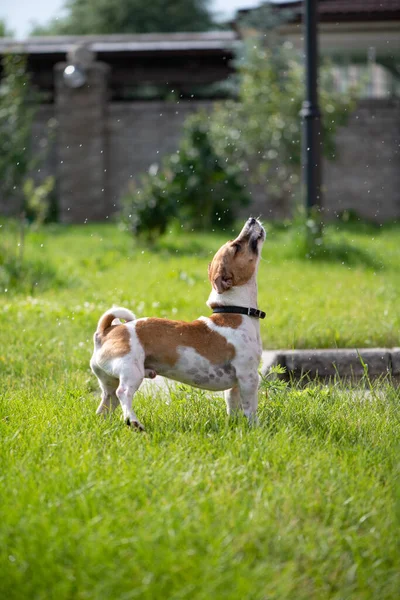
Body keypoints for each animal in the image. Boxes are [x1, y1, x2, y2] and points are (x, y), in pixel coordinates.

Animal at [90, 218, 266, 428]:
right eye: (237, 246)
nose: (251, 220)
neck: (234, 310)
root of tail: (106, 331)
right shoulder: (248, 377)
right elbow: (250, 408)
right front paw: (255, 427)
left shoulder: (234, 386)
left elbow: (233, 406)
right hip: (131, 371)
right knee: (123, 393)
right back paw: (134, 422)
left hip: (110, 383)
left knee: (106, 404)